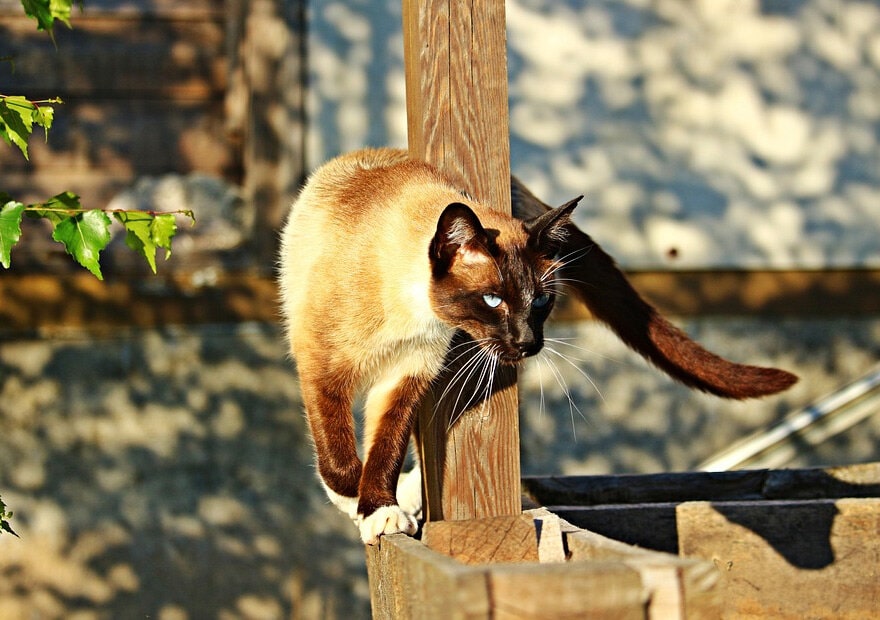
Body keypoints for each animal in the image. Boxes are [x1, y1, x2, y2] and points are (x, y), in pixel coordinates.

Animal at [280, 148, 796, 544]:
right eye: (493, 300)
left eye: (543, 301)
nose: (529, 343)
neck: (415, 313)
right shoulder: (323, 368)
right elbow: (338, 456)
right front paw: (358, 505)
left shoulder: (405, 379)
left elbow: (385, 450)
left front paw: (380, 511)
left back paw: (408, 499)